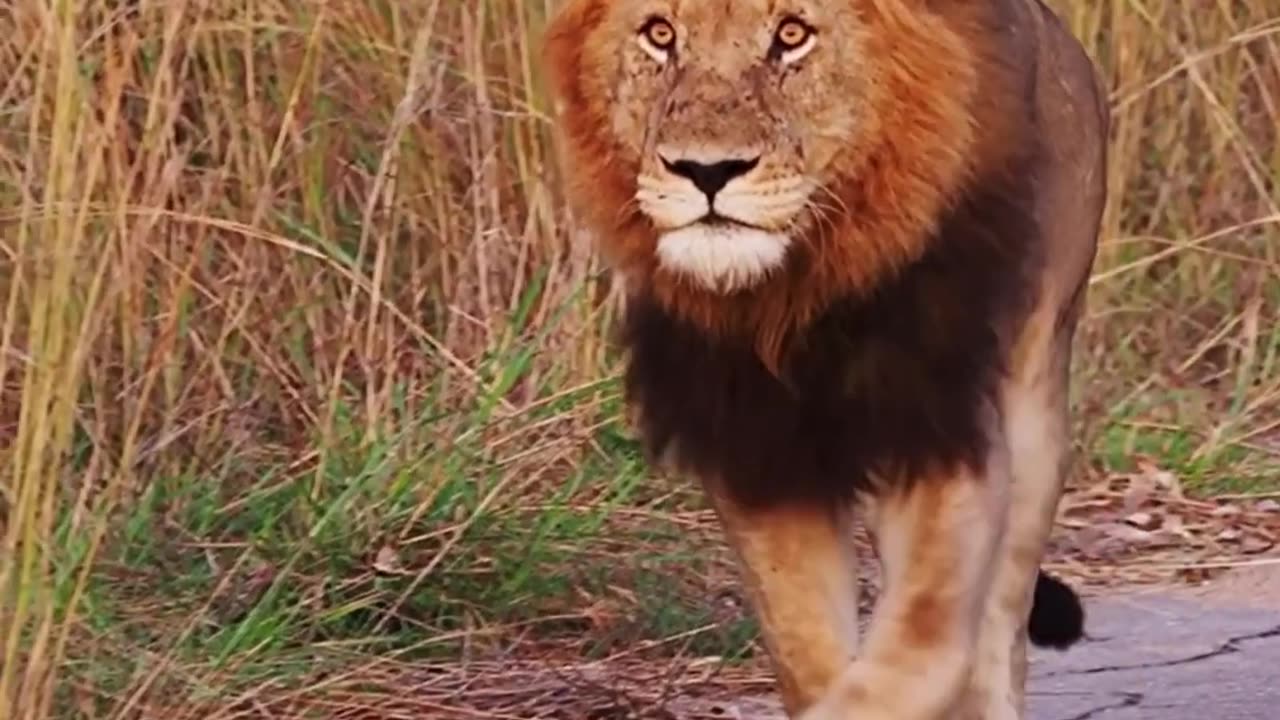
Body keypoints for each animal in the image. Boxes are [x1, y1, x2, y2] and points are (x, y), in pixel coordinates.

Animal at [542, 1, 1108, 718]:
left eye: (792, 34)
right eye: (660, 34)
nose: (706, 171)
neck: (801, 292)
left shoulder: (940, 428)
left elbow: (923, 647)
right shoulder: (760, 453)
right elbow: (806, 648)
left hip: (1036, 401)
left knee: (1000, 625)